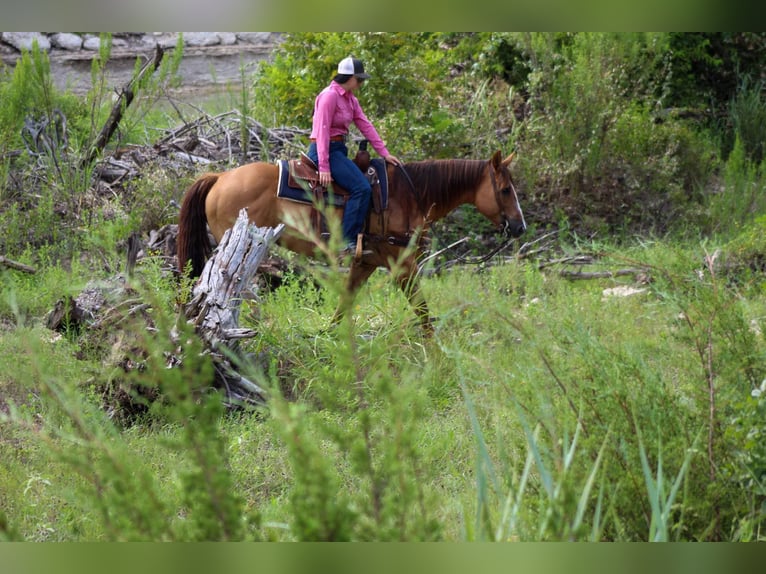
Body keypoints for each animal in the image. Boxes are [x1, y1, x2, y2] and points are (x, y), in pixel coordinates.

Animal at [176, 149, 526, 332]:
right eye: (505, 190)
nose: (520, 226)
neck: (408, 195)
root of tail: (219, 177)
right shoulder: (400, 263)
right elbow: (422, 309)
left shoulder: (367, 261)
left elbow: (345, 302)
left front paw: (327, 337)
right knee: (233, 289)